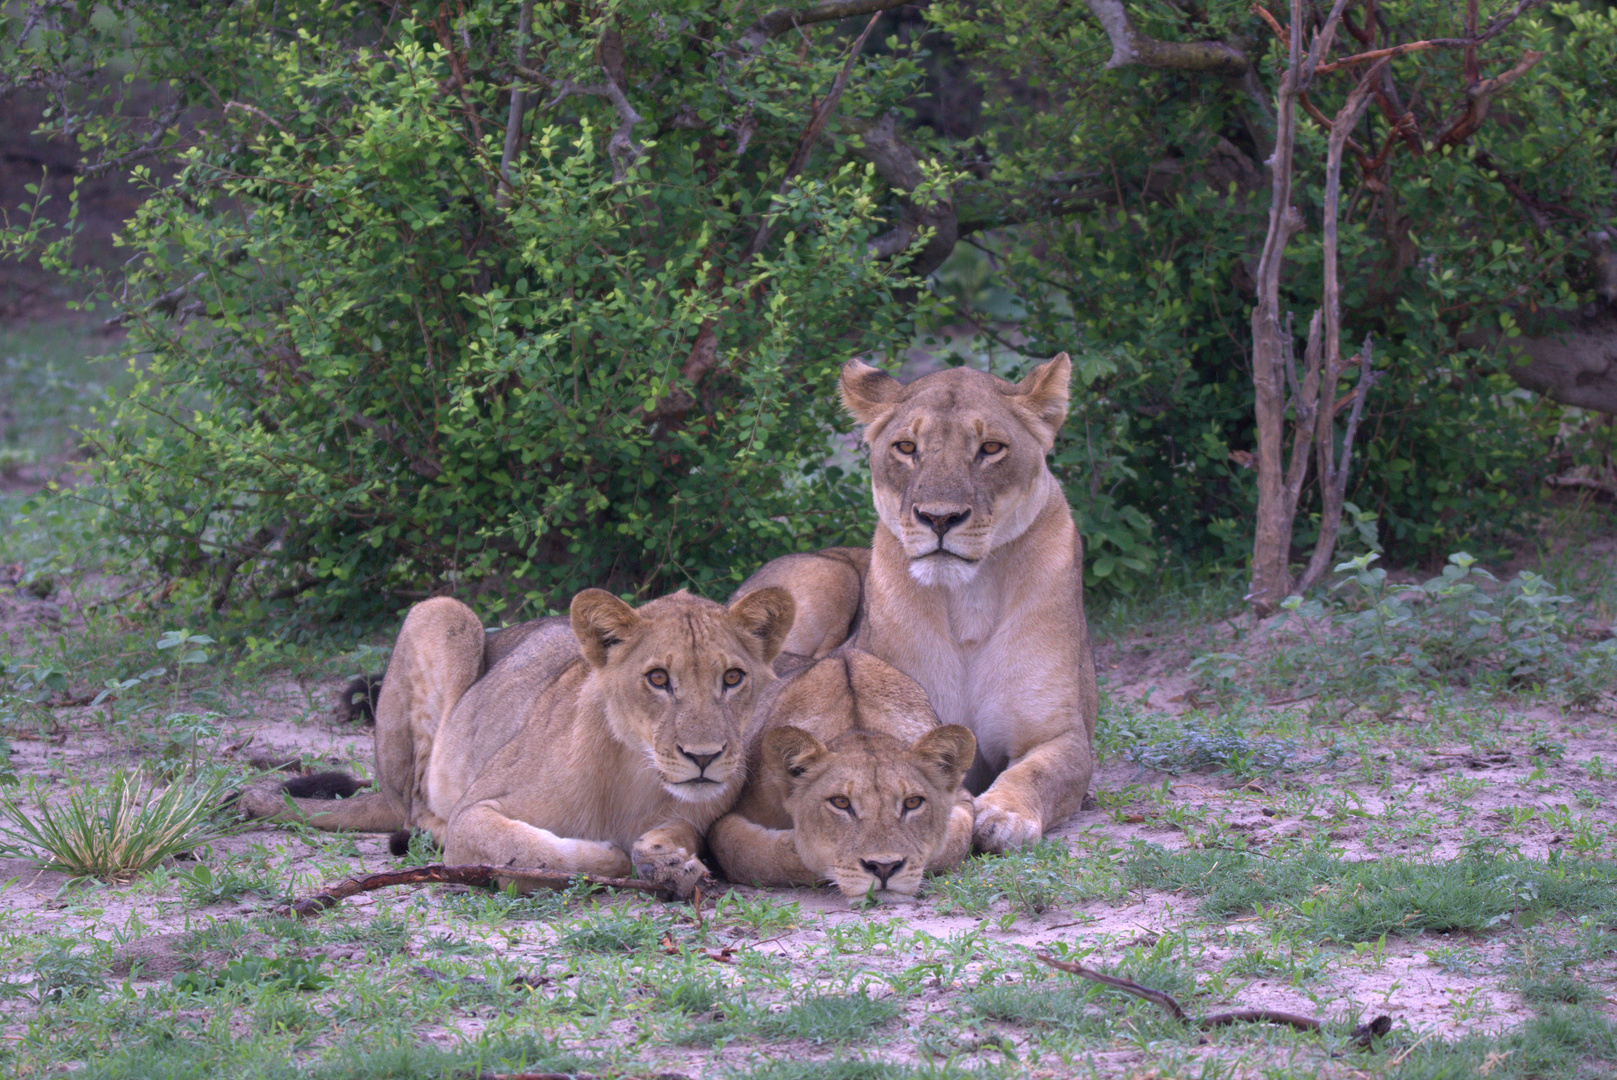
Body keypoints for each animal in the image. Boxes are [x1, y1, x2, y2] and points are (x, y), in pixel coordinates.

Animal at [237, 585, 789, 898]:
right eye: (657, 679)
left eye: (733, 678)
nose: (704, 757)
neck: (637, 776)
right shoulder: (477, 810)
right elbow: (525, 851)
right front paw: (612, 858)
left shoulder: (696, 817)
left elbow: (679, 832)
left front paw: (667, 862)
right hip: (442, 613)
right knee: (412, 807)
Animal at [714, 649, 976, 892]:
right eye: (840, 802)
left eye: (913, 803)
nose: (884, 867)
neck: (858, 723)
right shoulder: (728, 812)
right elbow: (747, 854)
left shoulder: (963, 799)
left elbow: (954, 841)